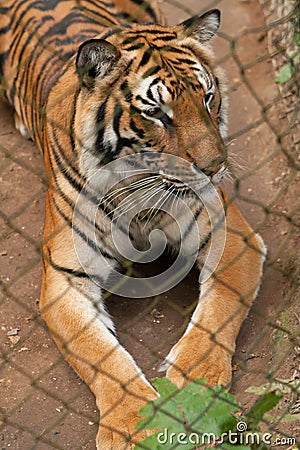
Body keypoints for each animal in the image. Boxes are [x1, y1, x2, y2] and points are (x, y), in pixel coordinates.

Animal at [0, 1, 268, 448]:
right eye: (157, 113)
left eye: (208, 97)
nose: (216, 168)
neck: (135, 186)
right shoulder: (64, 278)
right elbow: (98, 353)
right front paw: (133, 424)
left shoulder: (232, 236)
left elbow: (220, 307)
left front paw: (198, 381)